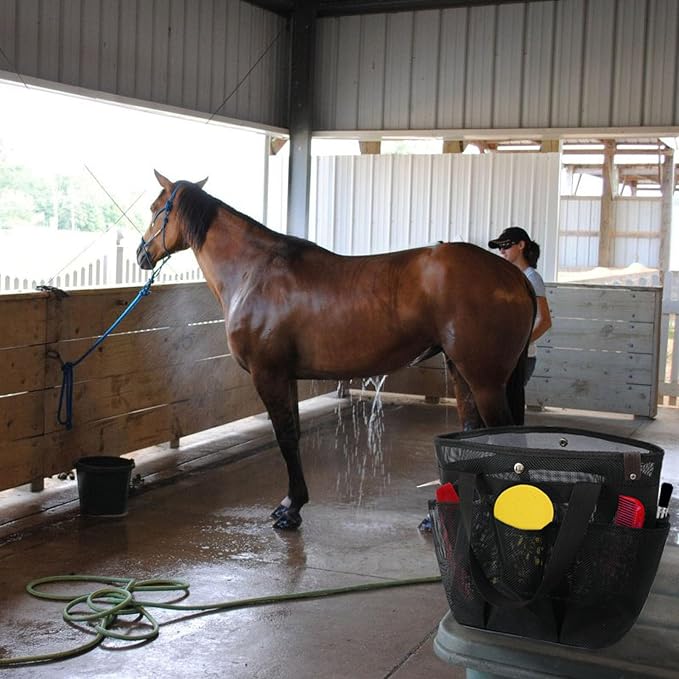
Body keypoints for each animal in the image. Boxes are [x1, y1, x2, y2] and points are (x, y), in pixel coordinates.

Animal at [137, 171, 536, 530]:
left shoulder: (269, 374)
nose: (143, 252)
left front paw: (290, 510)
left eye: (156, 209)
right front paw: (294, 503)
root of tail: (514, 277)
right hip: (461, 371)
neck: (254, 272)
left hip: (484, 379)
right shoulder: (287, 376)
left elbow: (284, 437)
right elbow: (294, 433)